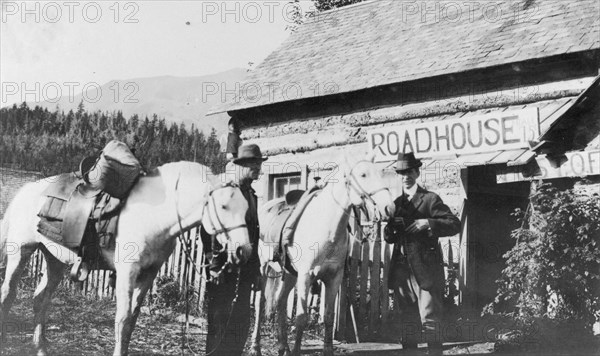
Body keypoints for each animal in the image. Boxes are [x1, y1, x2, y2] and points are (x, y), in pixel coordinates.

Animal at [0, 162, 251, 356]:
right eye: (224, 206)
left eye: (247, 208)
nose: (244, 251)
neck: (152, 215)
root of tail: (26, 191)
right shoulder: (127, 273)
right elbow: (121, 319)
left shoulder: (148, 274)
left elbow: (131, 320)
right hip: (21, 251)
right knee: (8, 293)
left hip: (54, 260)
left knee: (40, 299)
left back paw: (40, 348)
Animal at [248, 153, 394, 356]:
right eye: (363, 175)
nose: (389, 208)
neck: (326, 226)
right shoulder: (306, 276)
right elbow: (301, 317)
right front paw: (296, 350)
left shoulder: (334, 278)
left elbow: (329, 317)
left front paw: (327, 350)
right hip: (263, 268)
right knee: (260, 304)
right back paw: (256, 346)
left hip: (290, 274)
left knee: (280, 301)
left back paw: (283, 346)